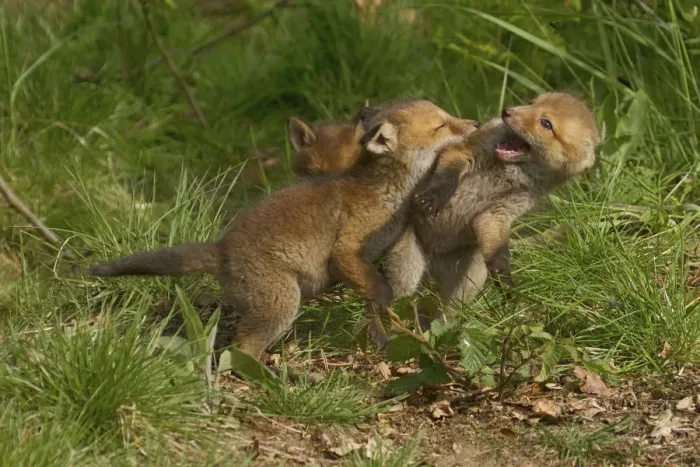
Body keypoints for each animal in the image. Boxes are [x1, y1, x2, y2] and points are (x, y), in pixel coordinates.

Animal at [90, 99, 477, 361]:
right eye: (441, 126)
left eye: (448, 116)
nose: (474, 122)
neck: (385, 193)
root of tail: (222, 248)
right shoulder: (346, 249)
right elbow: (376, 287)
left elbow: (378, 305)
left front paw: (384, 336)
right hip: (281, 302)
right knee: (239, 349)